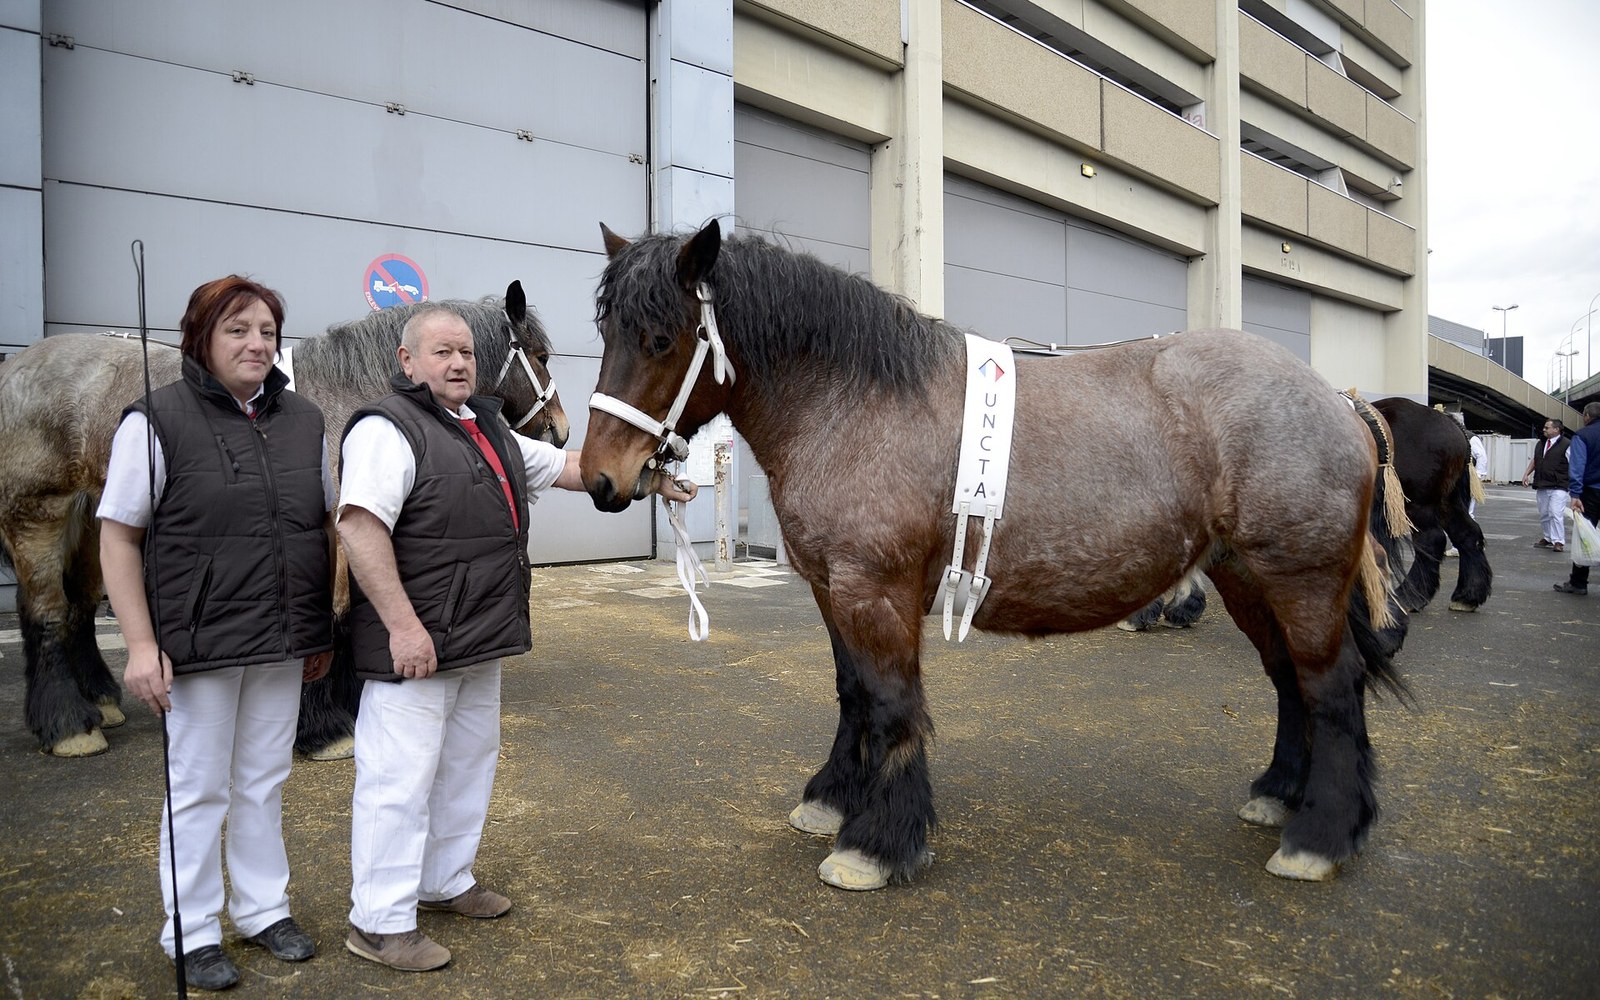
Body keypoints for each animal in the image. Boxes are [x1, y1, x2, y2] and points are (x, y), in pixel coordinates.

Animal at [0, 281, 567, 758]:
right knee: (46, 610)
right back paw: (69, 727)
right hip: (38, 514)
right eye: (540, 356)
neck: (346, 398)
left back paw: (99, 702)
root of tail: (16, 368)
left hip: (90, 519)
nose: (560, 432)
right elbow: (334, 617)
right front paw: (325, 729)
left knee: (75, 605)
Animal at [580, 221, 1408, 891]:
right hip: (1247, 578)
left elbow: (890, 704)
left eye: (661, 339)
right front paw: (831, 800)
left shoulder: (873, 591)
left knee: (1330, 688)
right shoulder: (830, 588)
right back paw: (1279, 794)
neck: (853, 402)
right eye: (606, 331)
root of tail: (1338, 400)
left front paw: (878, 845)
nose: (601, 479)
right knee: (1288, 682)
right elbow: (853, 695)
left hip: (1301, 579)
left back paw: (1319, 836)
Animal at [1370, 397, 1491, 613]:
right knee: (1467, 534)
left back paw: (1410, 597)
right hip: (1446, 502)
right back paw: (1468, 595)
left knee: (1431, 541)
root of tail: (1451, 423)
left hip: (1420, 504)